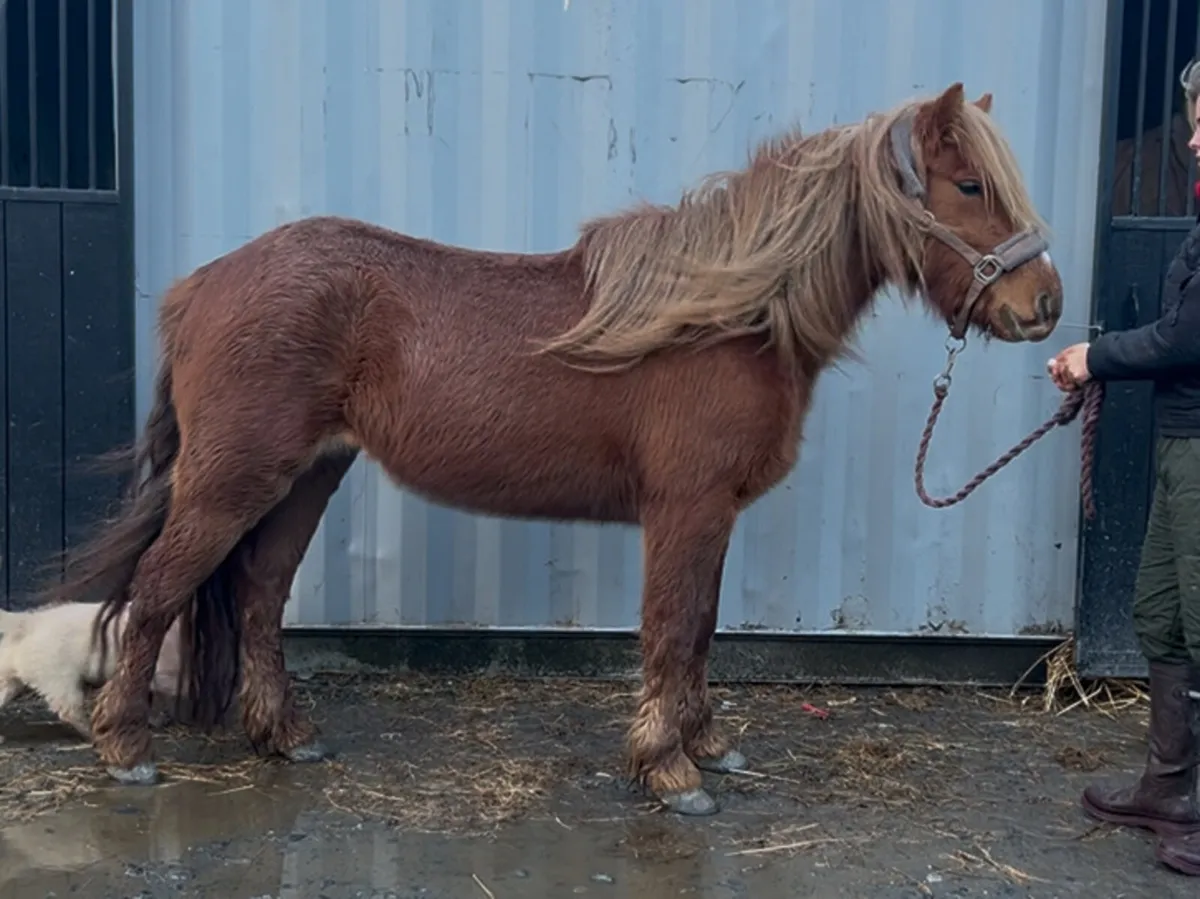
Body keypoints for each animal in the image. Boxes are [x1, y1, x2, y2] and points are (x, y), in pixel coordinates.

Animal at [41, 81, 1062, 817]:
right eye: (970, 186)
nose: (1044, 305)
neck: (728, 312)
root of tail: (201, 286)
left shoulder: (715, 514)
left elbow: (701, 628)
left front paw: (706, 745)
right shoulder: (685, 509)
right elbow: (670, 628)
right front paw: (669, 771)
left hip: (306, 477)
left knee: (256, 595)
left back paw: (285, 734)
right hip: (233, 479)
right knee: (159, 592)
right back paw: (126, 747)